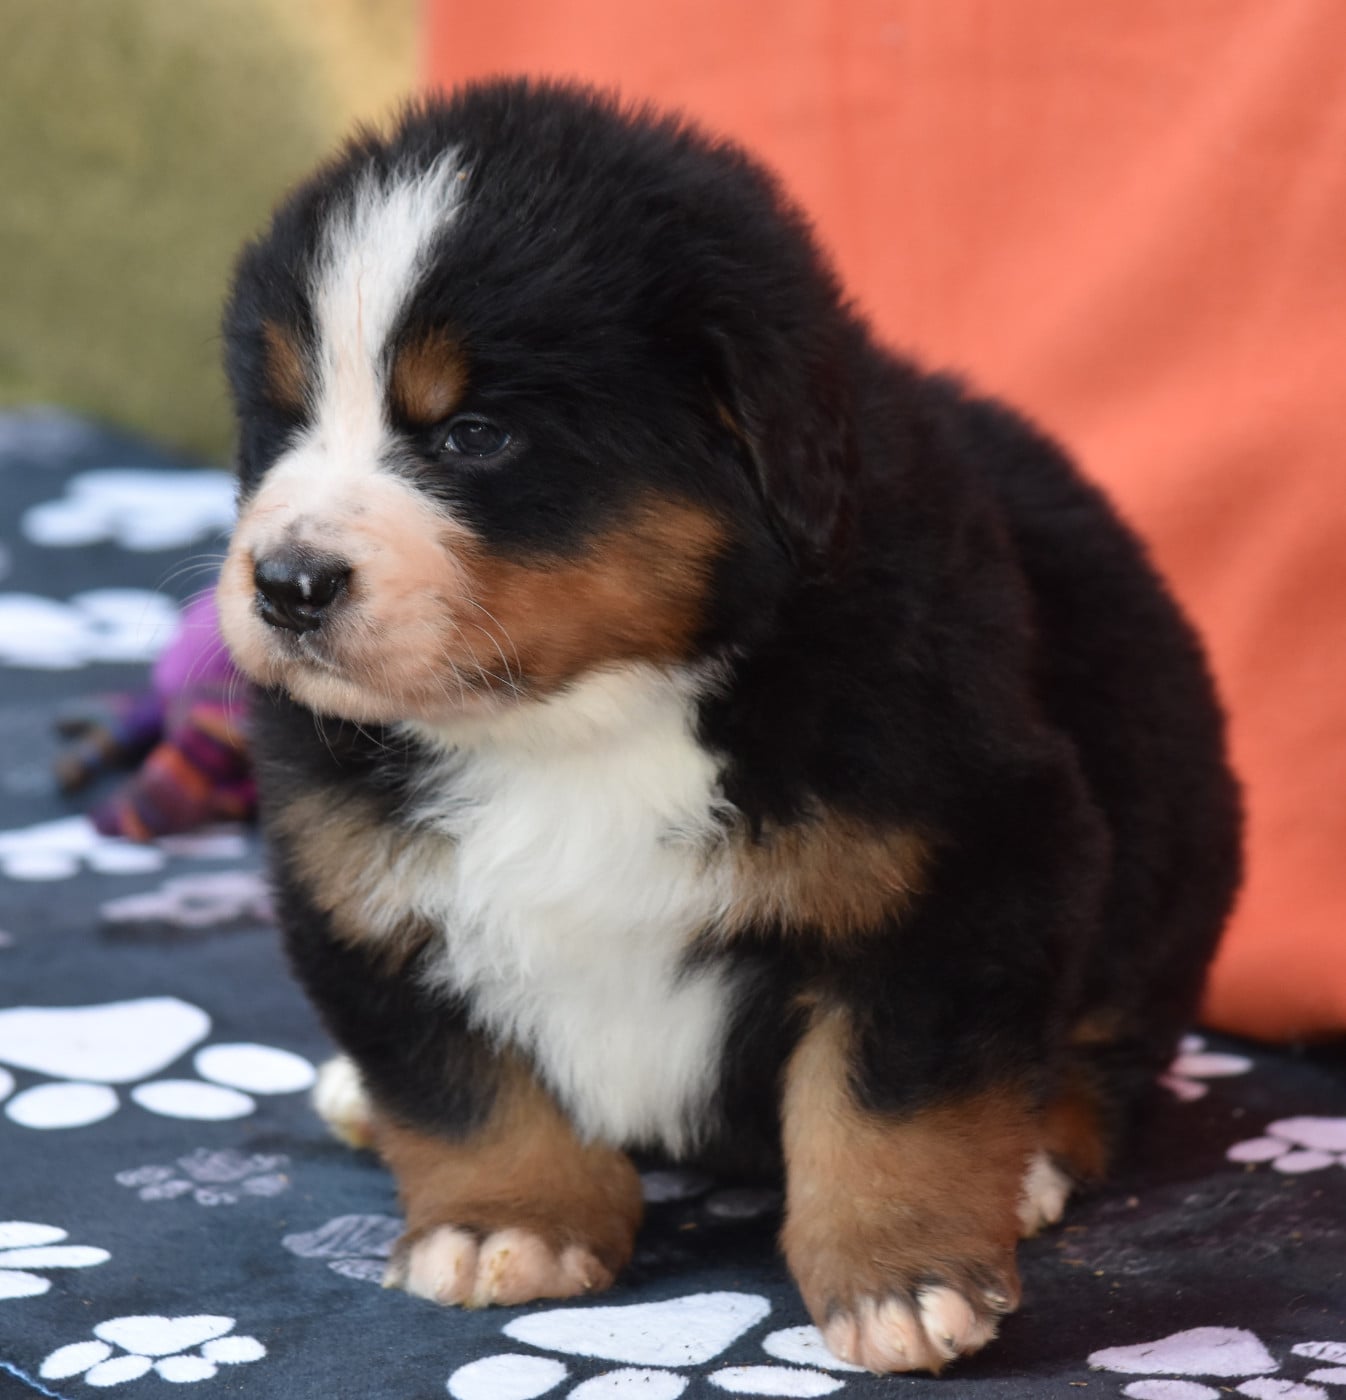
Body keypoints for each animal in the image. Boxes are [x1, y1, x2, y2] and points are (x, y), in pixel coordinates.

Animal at [217, 79, 1241, 1374]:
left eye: (473, 434)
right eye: (282, 421)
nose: (287, 584)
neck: (575, 721)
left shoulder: (968, 855)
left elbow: (889, 1093)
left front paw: (901, 1274)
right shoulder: (347, 873)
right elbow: (453, 1076)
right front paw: (507, 1221)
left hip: (1160, 844)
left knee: (1107, 1050)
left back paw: (1030, 1161)